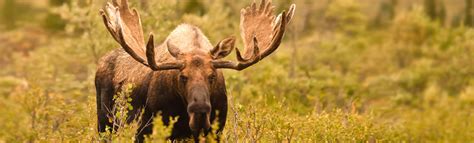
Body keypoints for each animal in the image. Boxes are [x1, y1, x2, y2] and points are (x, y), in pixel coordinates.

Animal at [96, 0, 294, 141]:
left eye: (212, 76)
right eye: (182, 77)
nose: (200, 111)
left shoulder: (215, 131)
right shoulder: (146, 129)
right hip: (105, 121)